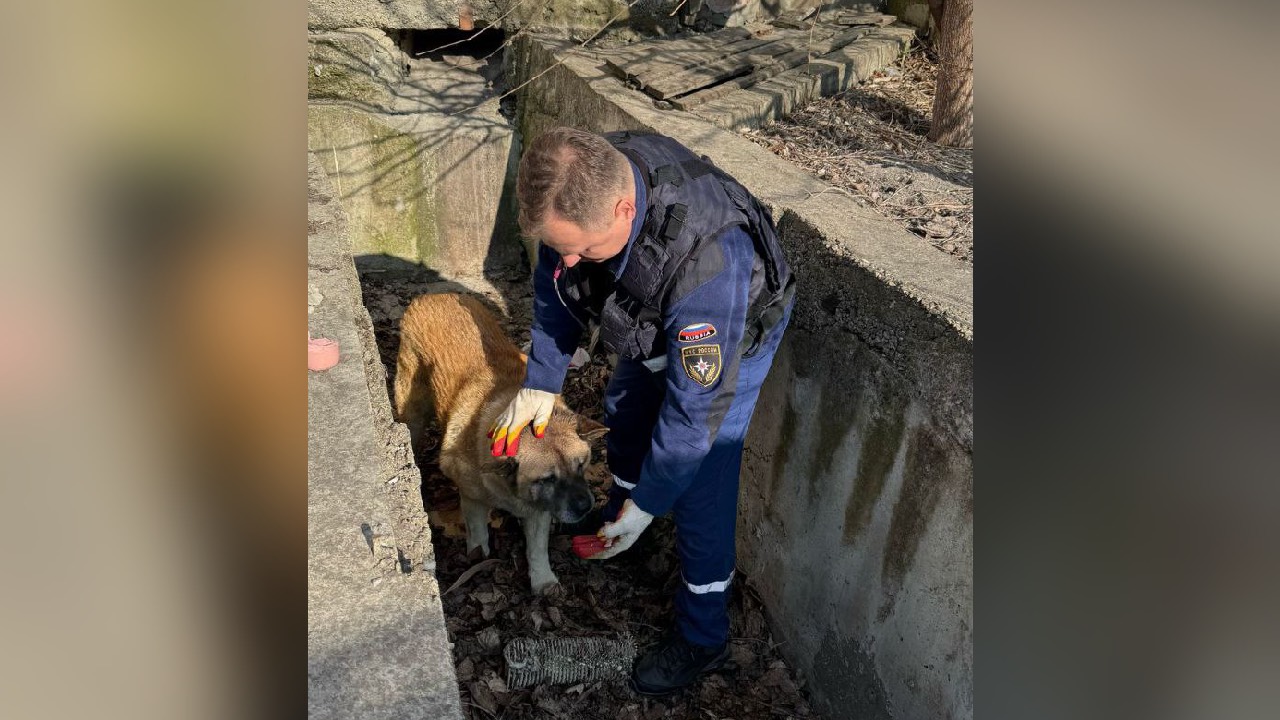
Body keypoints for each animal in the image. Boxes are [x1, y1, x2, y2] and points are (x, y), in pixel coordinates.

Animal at [393, 292, 604, 594]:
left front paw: (542, 579)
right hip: (413, 412)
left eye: (582, 465)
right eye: (548, 478)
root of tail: (432, 295)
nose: (585, 506)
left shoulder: (539, 510)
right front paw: (478, 559)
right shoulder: (471, 497)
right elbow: (478, 532)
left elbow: (537, 548)